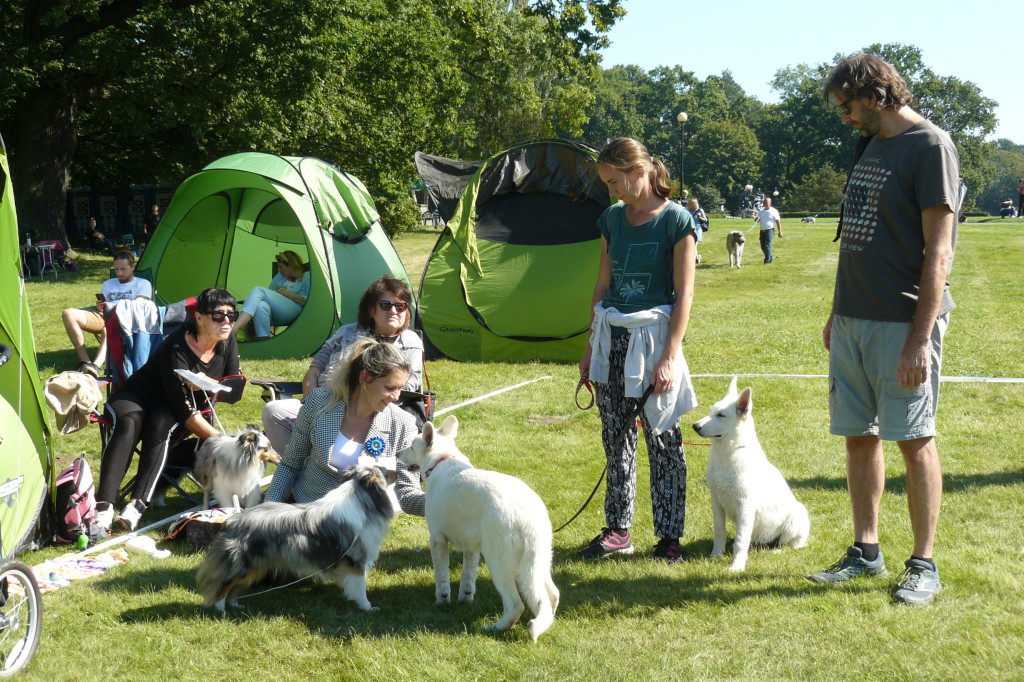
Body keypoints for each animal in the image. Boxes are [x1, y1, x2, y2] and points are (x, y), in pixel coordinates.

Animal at [194, 462, 395, 610]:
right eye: (384, 470)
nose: (398, 470)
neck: (361, 498)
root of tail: (232, 520)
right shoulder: (356, 561)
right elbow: (361, 588)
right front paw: (368, 607)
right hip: (244, 565)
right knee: (223, 585)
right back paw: (221, 610)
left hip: (255, 566)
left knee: (233, 588)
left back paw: (236, 606)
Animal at [397, 411, 561, 638]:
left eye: (412, 446)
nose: (397, 454)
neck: (443, 459)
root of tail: (528, 517)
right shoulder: (471, 546)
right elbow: (468, 576)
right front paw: (464, 598)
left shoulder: (437, 540)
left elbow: (441, 577)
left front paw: (442, 600)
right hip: (538, 563)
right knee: (553, 594)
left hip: (498, 564)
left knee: (516, 604)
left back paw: (495, 628)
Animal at [692, 376, 811, 569]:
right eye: (711, 412)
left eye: (721, 415)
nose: (695, 426)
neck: (729, 453)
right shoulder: (716, 501)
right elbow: (719, 531)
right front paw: (715, 555)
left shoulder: (745, 505)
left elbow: (740, 541)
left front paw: (736, 566)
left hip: (796, 517)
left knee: (792, 544)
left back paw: (777, 550)